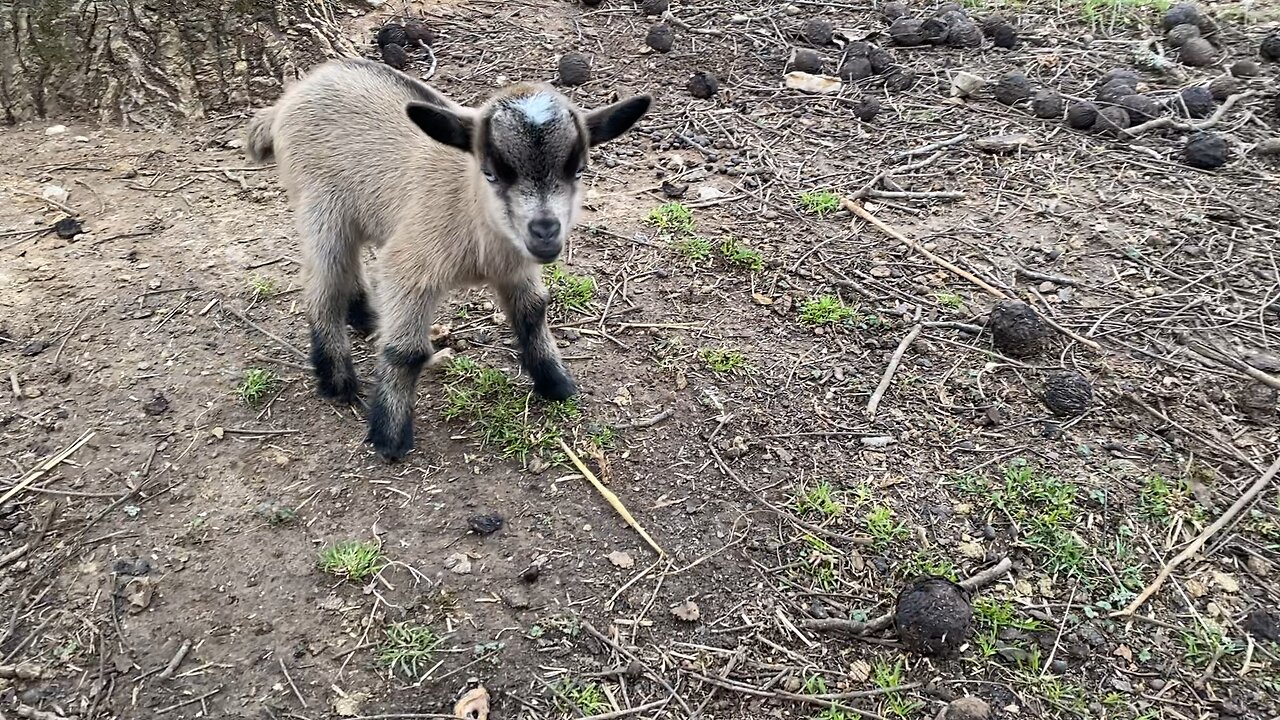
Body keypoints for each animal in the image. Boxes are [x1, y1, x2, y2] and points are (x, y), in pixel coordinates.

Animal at [241, 57, 650, 458]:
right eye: (490, 173)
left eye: (579, 170)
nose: (545, 233)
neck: (472, 213)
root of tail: (293, 95)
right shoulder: (410, 265)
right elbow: (405, 351)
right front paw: (389, 438)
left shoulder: (515, 267)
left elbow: (532, 313)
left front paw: (556, 384)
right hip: (318, 206)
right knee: (324, 285)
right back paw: (337, 381)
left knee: (348, 267)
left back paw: (366, 318)